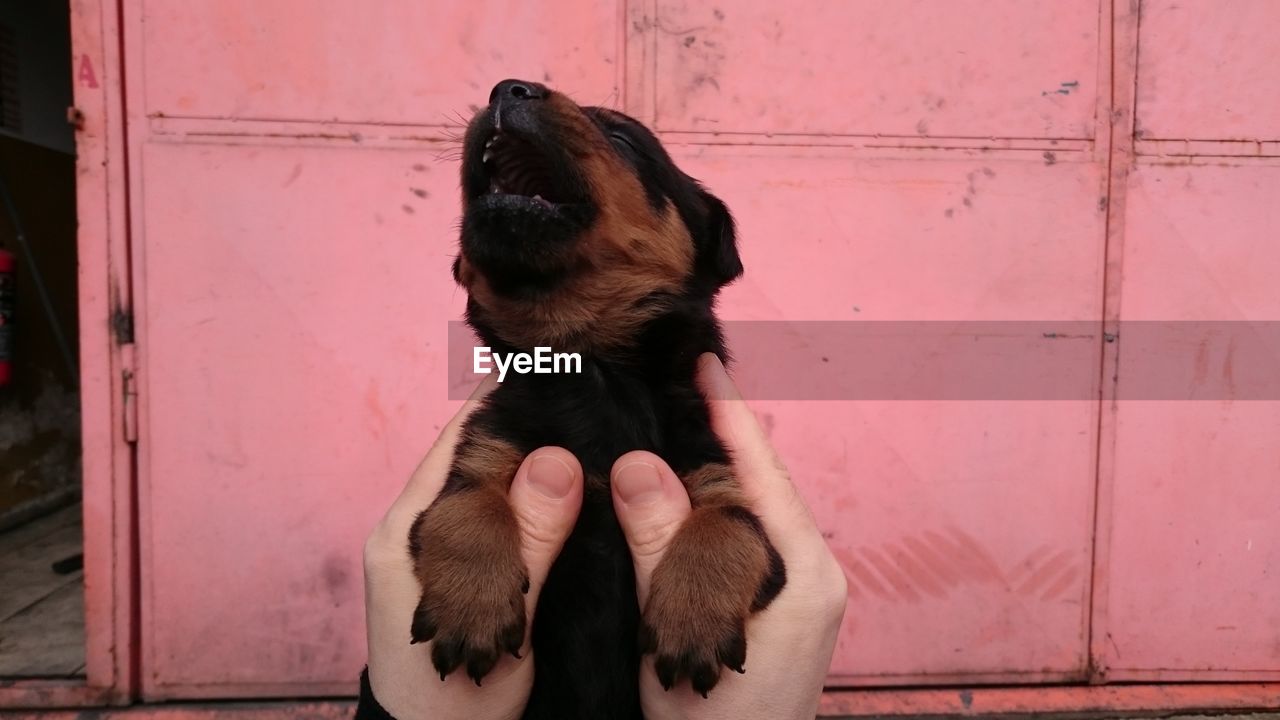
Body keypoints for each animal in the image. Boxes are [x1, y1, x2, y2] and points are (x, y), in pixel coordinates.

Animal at [409, 79, 783, 717]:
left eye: (621, 139)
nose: (506, 88)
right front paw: (471, 601)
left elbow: (728, 525)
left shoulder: (721, 483)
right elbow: (465, 506)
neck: (591, 364)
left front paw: (692, 621)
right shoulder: (484, 449)